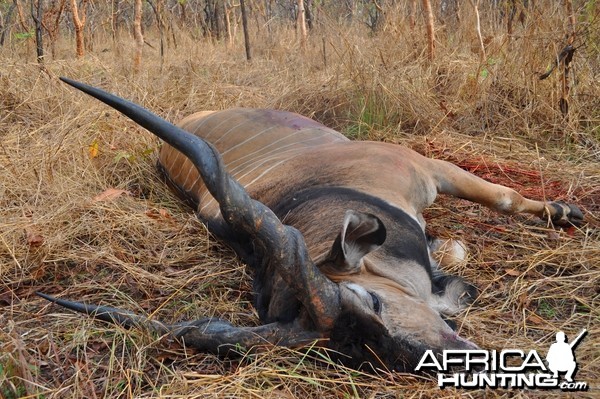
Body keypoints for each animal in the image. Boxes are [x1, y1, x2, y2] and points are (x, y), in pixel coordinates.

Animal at [36, 77, 580, 372]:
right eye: (352, 353)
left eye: (369, 300)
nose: (446, 360)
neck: (325, 191)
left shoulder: (424, 166)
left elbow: (504, 197)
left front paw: (564, 212)